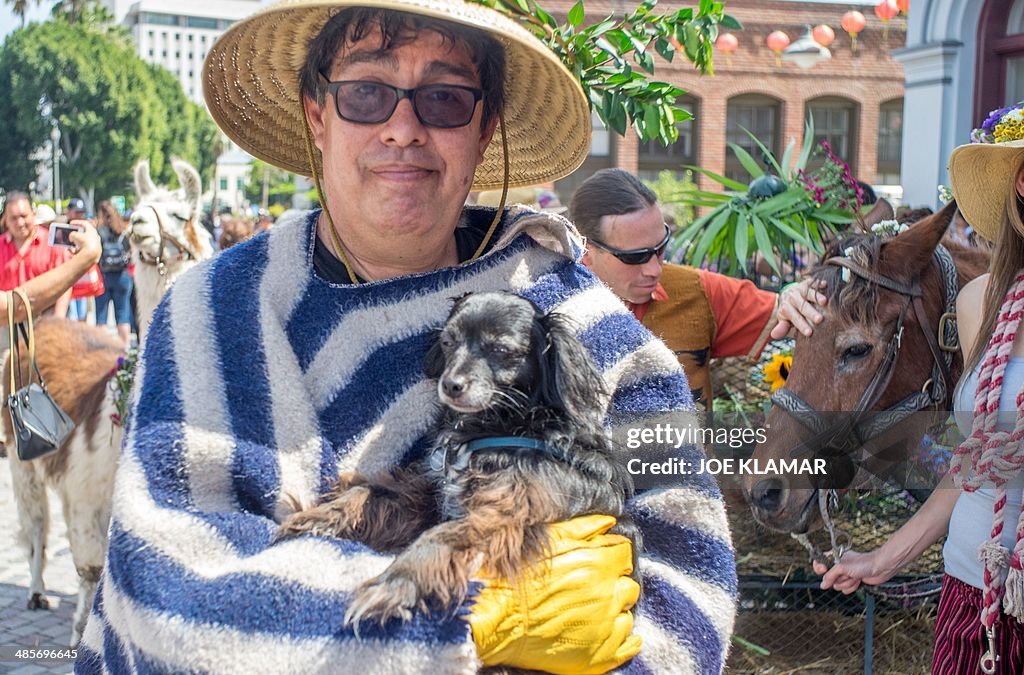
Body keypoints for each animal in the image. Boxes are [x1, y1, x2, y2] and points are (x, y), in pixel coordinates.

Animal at [276, 292, 634, 626]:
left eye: (501, 350)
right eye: (448, 342)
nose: (451, 385)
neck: (499, 426)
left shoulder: (504, 512)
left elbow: (438, 536)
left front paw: (396, 582)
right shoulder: (430, 495)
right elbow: (368, 492)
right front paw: (318, 516)